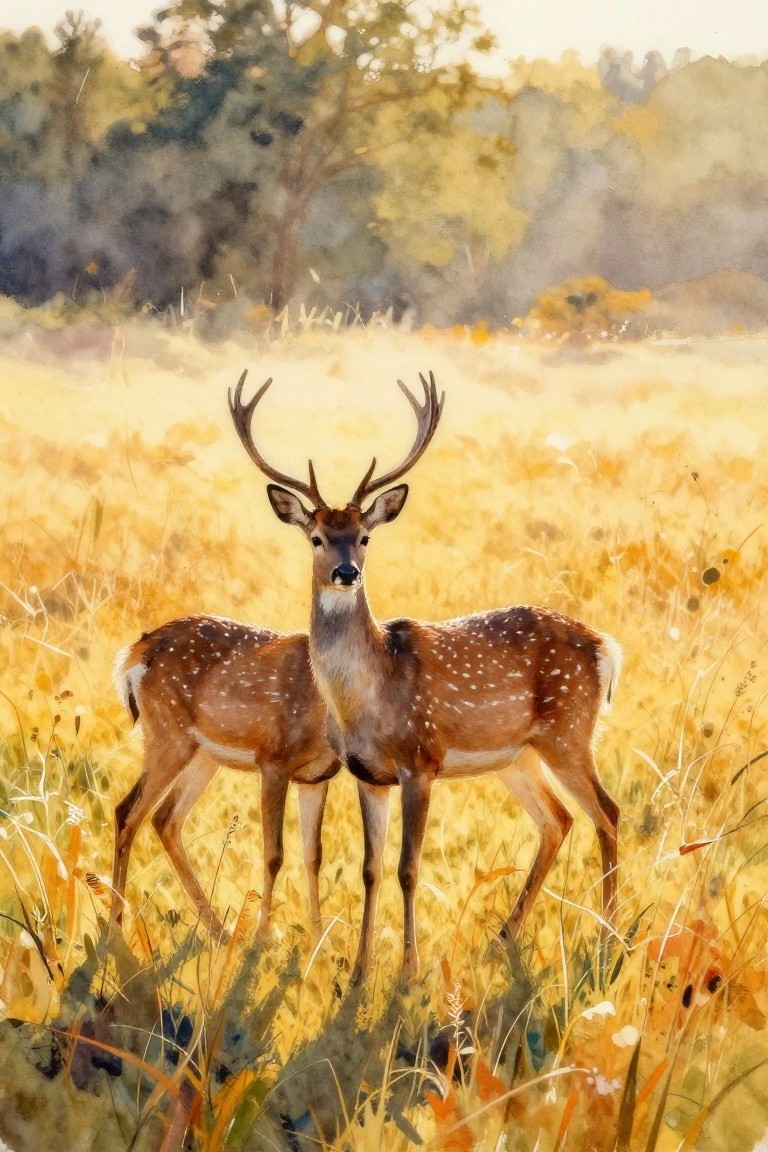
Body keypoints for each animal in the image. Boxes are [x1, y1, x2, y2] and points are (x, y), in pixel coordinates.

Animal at [111, 609, 340, 942]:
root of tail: (134, 652)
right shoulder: (273, 762)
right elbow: (274, 854)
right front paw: (262, 939)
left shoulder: (316, 778)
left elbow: (313, 855)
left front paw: (319, 939)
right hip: (169, 736)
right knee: (128, 812)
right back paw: (114, 931)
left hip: (202, 756)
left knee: (164, 818)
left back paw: (218, 932)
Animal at [228, 369, 622, 983]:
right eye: (316, 537)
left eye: (365, 535)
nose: (347, 572)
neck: (365, 699)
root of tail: (608, 649)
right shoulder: (368, 773)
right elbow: (370, 867)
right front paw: (359, 970)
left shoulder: (422, 759)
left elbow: (408, 868)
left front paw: (408, 972)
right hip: (518, 754)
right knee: (558, 820)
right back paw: (504, 939)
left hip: (569, 732)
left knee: (608, 814)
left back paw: (607, 942)